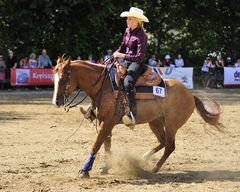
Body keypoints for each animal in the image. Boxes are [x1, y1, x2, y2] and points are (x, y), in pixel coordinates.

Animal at [52, 57, 223, 178]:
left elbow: (97, 145)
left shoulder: (106, 123)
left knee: (169, 146)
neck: (105, 86)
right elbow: (106, 145)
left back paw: (155, 168)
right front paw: (106, 166)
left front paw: (85, 170)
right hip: (155, 122)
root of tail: (190, 95)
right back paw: (144, 157)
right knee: (162, 142)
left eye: (63, 78)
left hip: (172, 124)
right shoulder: (105, 123)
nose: (56, 102)